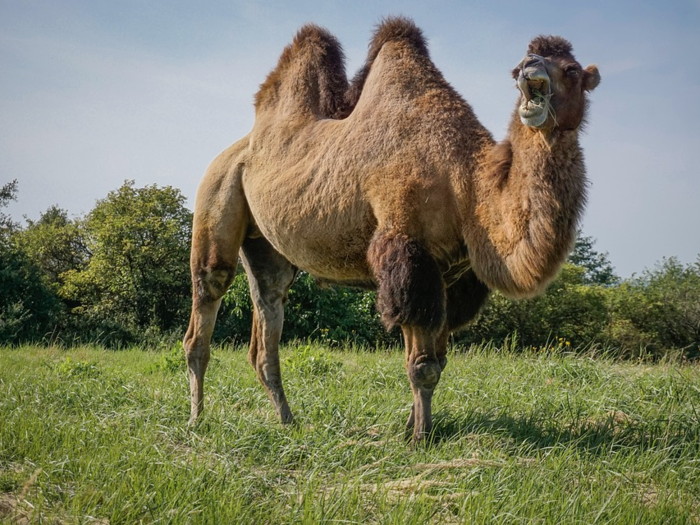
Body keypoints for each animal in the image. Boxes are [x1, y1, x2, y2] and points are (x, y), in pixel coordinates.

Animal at [183, 17, 600, 442]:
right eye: (519, 68)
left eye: (571, 70)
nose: (529, 66)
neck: (467, 180)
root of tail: (235, 150)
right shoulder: (407, 252)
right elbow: (423, 366)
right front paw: (420, 438)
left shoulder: (450, 277)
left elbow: (437, 361)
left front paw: (412, 428)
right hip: (217, 192)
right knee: (207, 300)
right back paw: (197, 419)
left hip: (267, 247)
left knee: (267, 313)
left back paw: (288, 420)